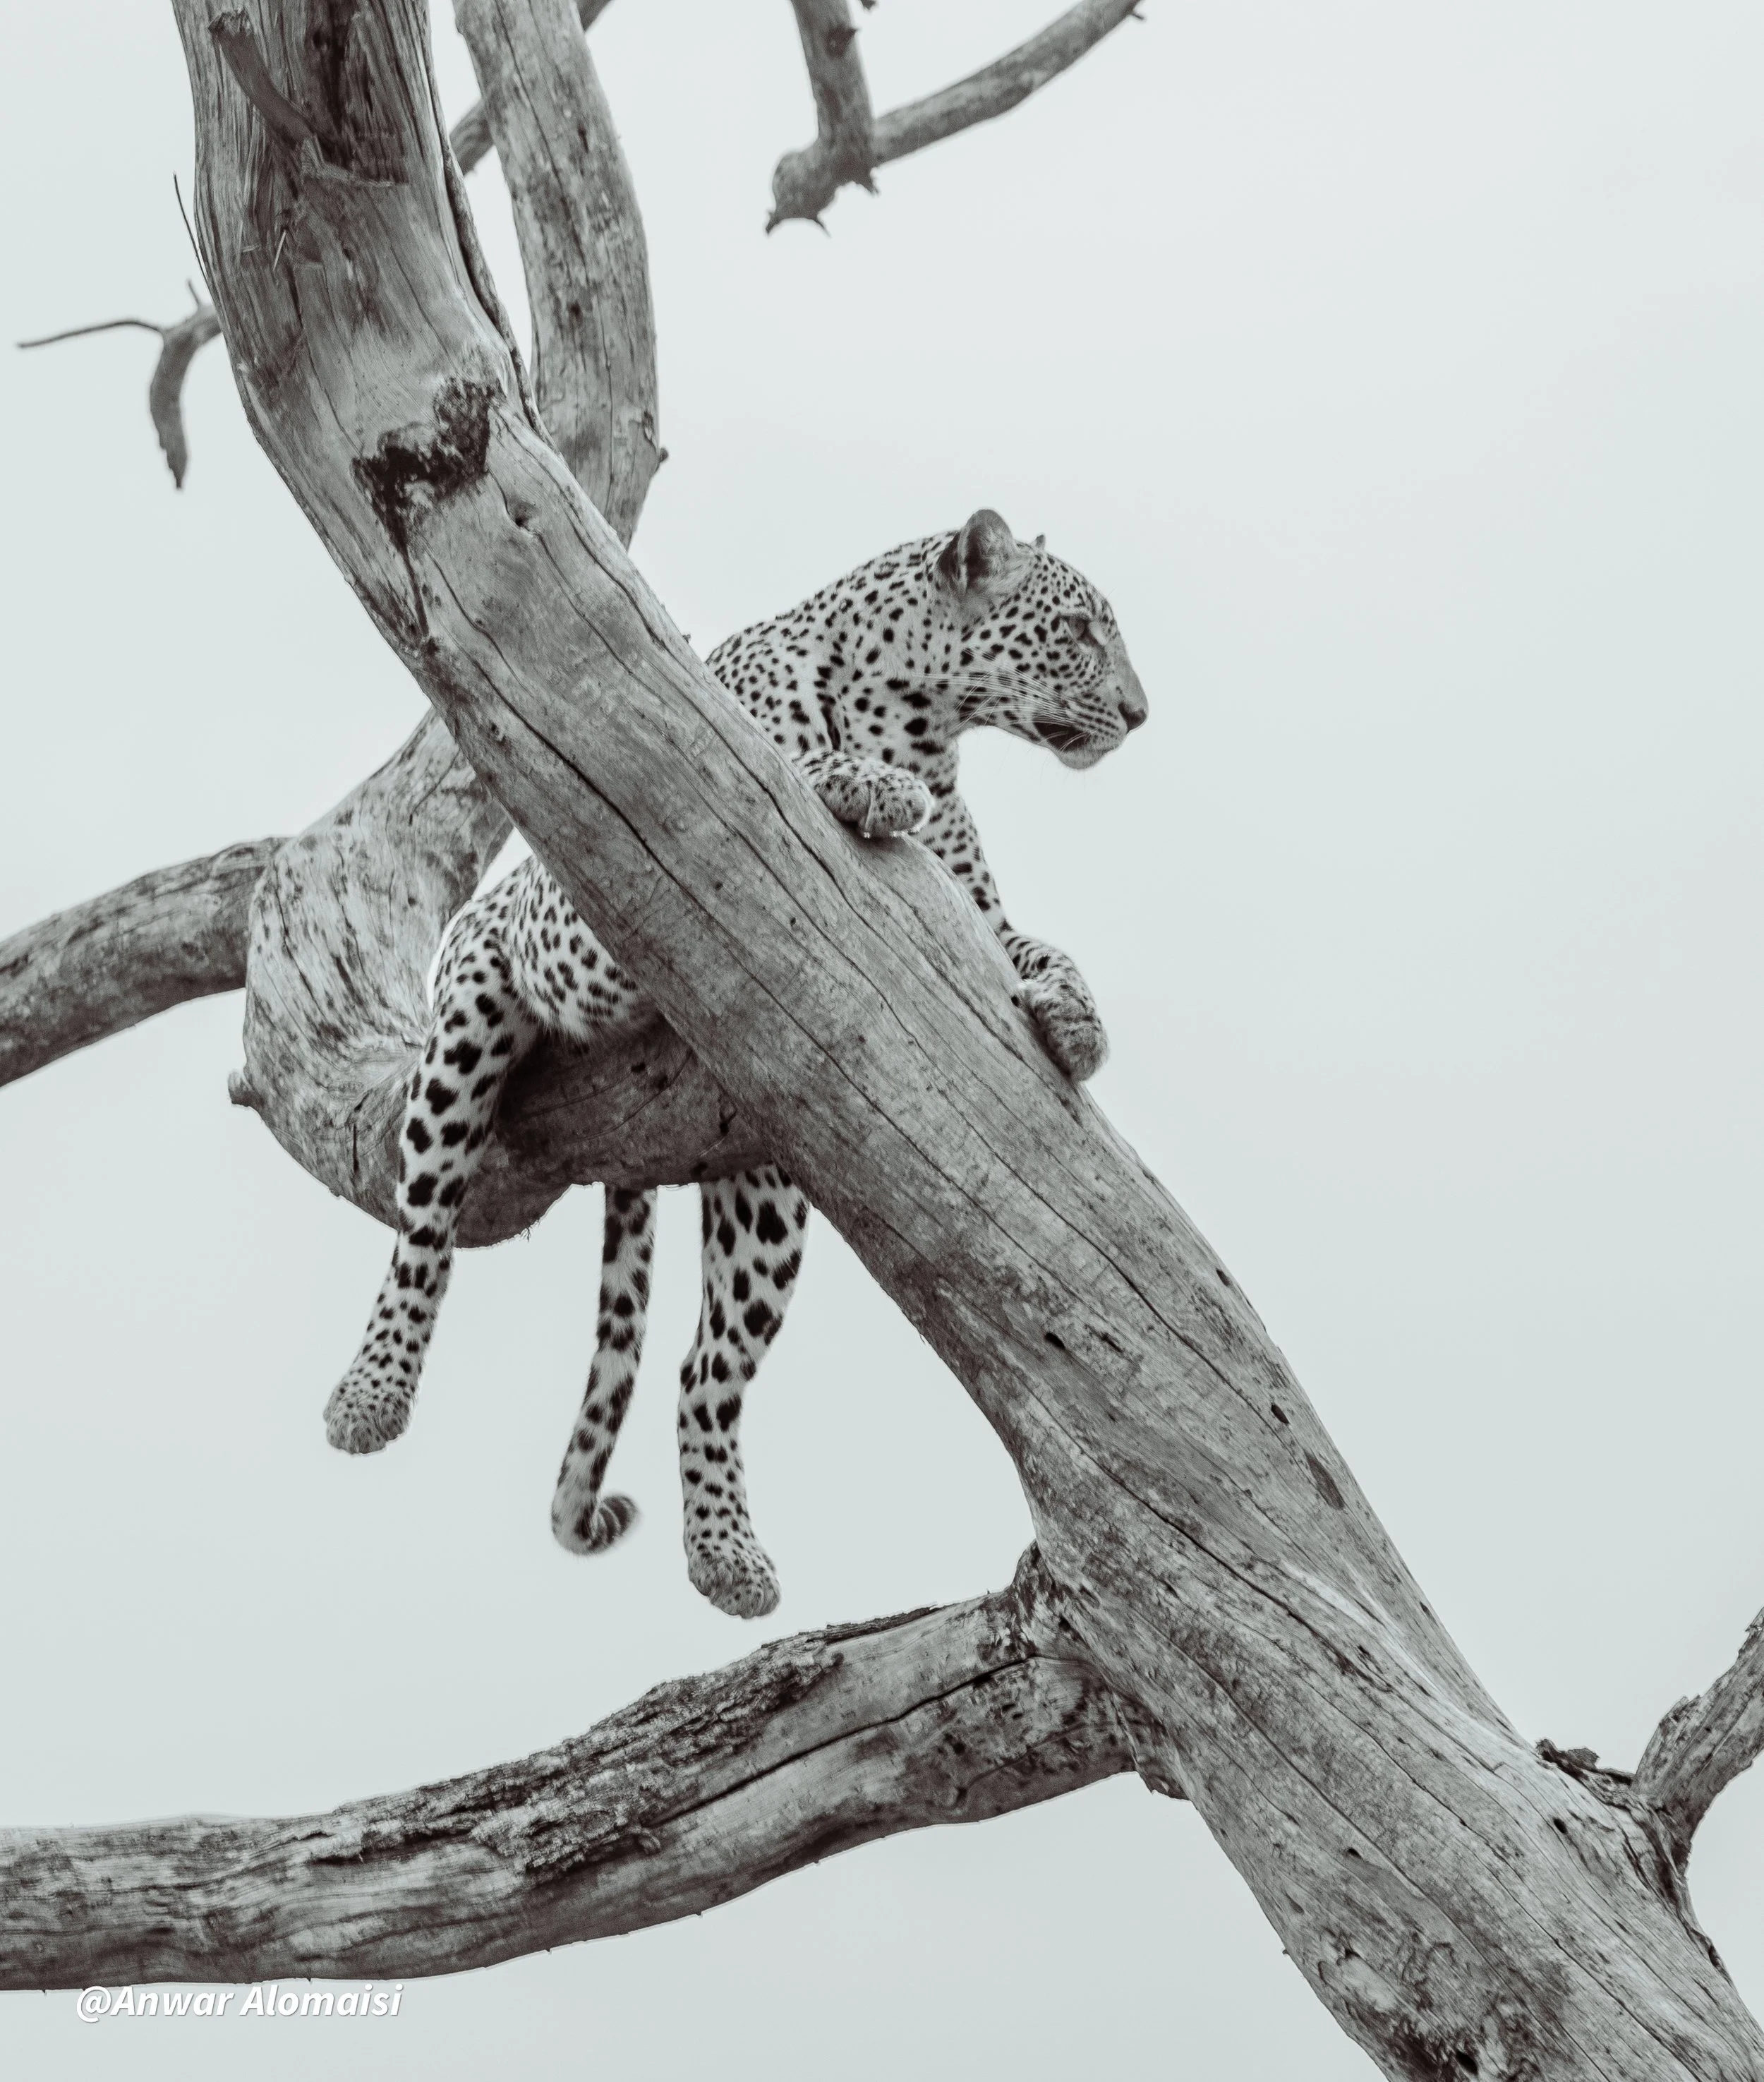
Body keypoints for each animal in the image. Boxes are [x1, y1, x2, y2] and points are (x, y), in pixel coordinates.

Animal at [324, 508, 1148, 1618]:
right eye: (1077, 627)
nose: (1140, 712)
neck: (922, 728)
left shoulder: (977, 921)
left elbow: (1047, 951)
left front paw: (1078, 1024)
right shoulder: (616, 870)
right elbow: (798, 768)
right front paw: (865, 784)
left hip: (768, 1193)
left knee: (701, 1373)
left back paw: (727, 1559)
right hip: (466, 1023)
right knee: (424, 1234)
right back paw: (371, 1394)